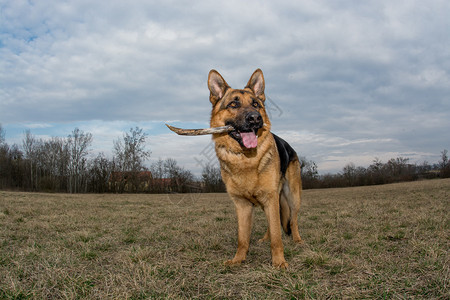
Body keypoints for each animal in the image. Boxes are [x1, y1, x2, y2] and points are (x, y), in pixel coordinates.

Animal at [208, 68, 302, 270]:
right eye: (233, 104)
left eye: (256, 104)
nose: (255, 118)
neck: (245, 159)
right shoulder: (242, 205)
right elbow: (243, 238)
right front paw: (238, 259)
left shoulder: (270, 198)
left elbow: (277, 237)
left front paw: (279, 262)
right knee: (272, 224)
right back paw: (265, 239)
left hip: (293, 197)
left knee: (293, 219)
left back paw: (298, 239)